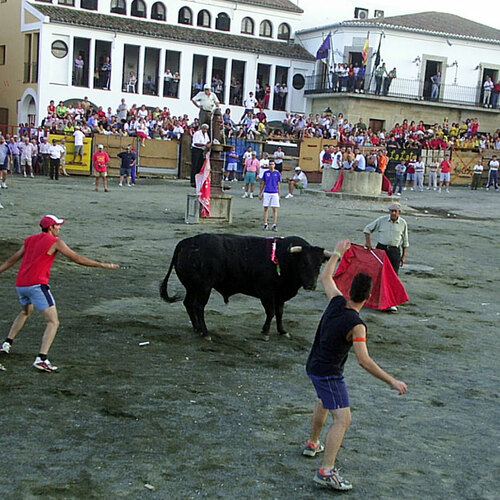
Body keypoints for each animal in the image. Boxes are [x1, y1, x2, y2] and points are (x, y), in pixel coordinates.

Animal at [160, 234, 332, 340]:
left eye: (319, 265)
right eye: (303, 263)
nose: (310, 285)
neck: (284, 258)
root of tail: (188, 241)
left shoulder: (280, 295)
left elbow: (280, 312)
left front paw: (282, 331)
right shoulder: (266, 292)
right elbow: (271, 312)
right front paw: (265, 332)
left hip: (192, 287)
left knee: (188, 303)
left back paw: (196, 328)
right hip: (204, 287)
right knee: (198, 306)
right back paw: (206, 332)